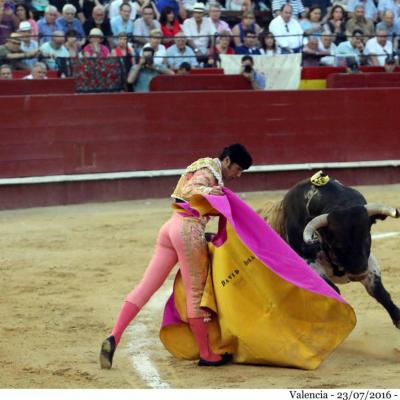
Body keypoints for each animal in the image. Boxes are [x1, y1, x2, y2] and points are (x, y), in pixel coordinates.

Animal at [260, 172, 400, 328]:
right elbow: (333, 291)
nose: (358, 275)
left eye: (366, 238)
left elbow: (379, 291)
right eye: (337, 244)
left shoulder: (368, 262)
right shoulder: (309, 262)